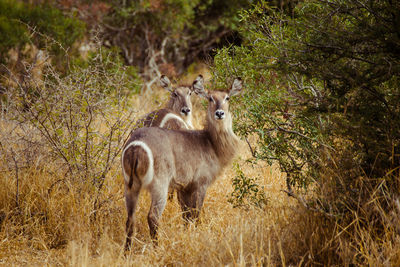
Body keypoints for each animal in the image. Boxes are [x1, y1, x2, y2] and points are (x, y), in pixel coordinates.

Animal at [120, 78, 242, 251]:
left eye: (227, 98)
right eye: (210, 98)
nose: (219, 113)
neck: (210, 142)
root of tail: (136, 146)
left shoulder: (184, 187)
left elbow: (186, 216)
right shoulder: (200, 184)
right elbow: (195, 214)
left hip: (130, 186)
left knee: (130, 219)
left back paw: (126, 252)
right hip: (160, 185)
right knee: (152, 216)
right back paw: (158, 248)